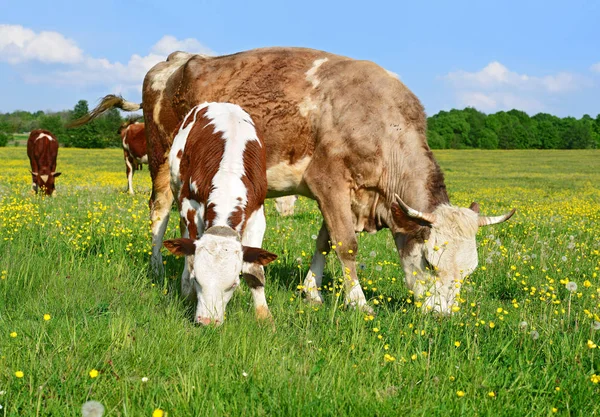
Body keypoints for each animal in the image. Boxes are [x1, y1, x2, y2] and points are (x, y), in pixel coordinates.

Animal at [162, 102, 278, 324]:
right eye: (198, 280)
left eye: (232, 284)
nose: (207, 321)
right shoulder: (189, 206)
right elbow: (190, 257)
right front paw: (189, 294)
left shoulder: (257, 214)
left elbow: (254, 269)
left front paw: (264, 316)